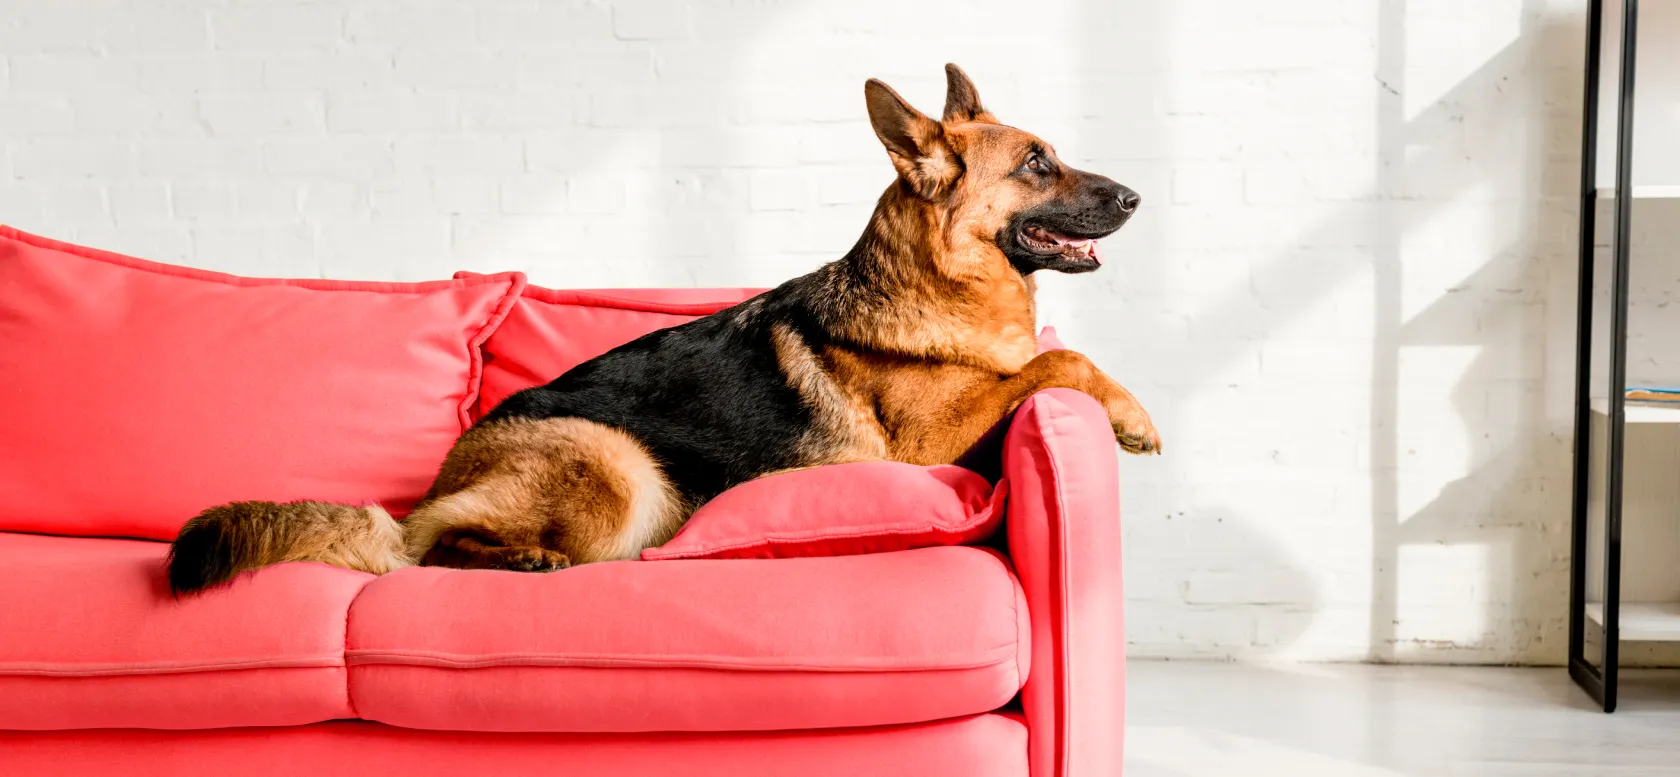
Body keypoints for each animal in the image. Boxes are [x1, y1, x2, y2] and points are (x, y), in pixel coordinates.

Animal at [163, 65, 1162, 595]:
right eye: (1036, 163)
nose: (1136, 196)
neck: (940, 291)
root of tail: (441, 478)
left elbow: (1047, 359)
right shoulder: (928, 447)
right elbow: (1062, 359)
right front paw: (1136, 415)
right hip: (617, 467)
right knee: (426, 555)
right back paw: (516, 557)